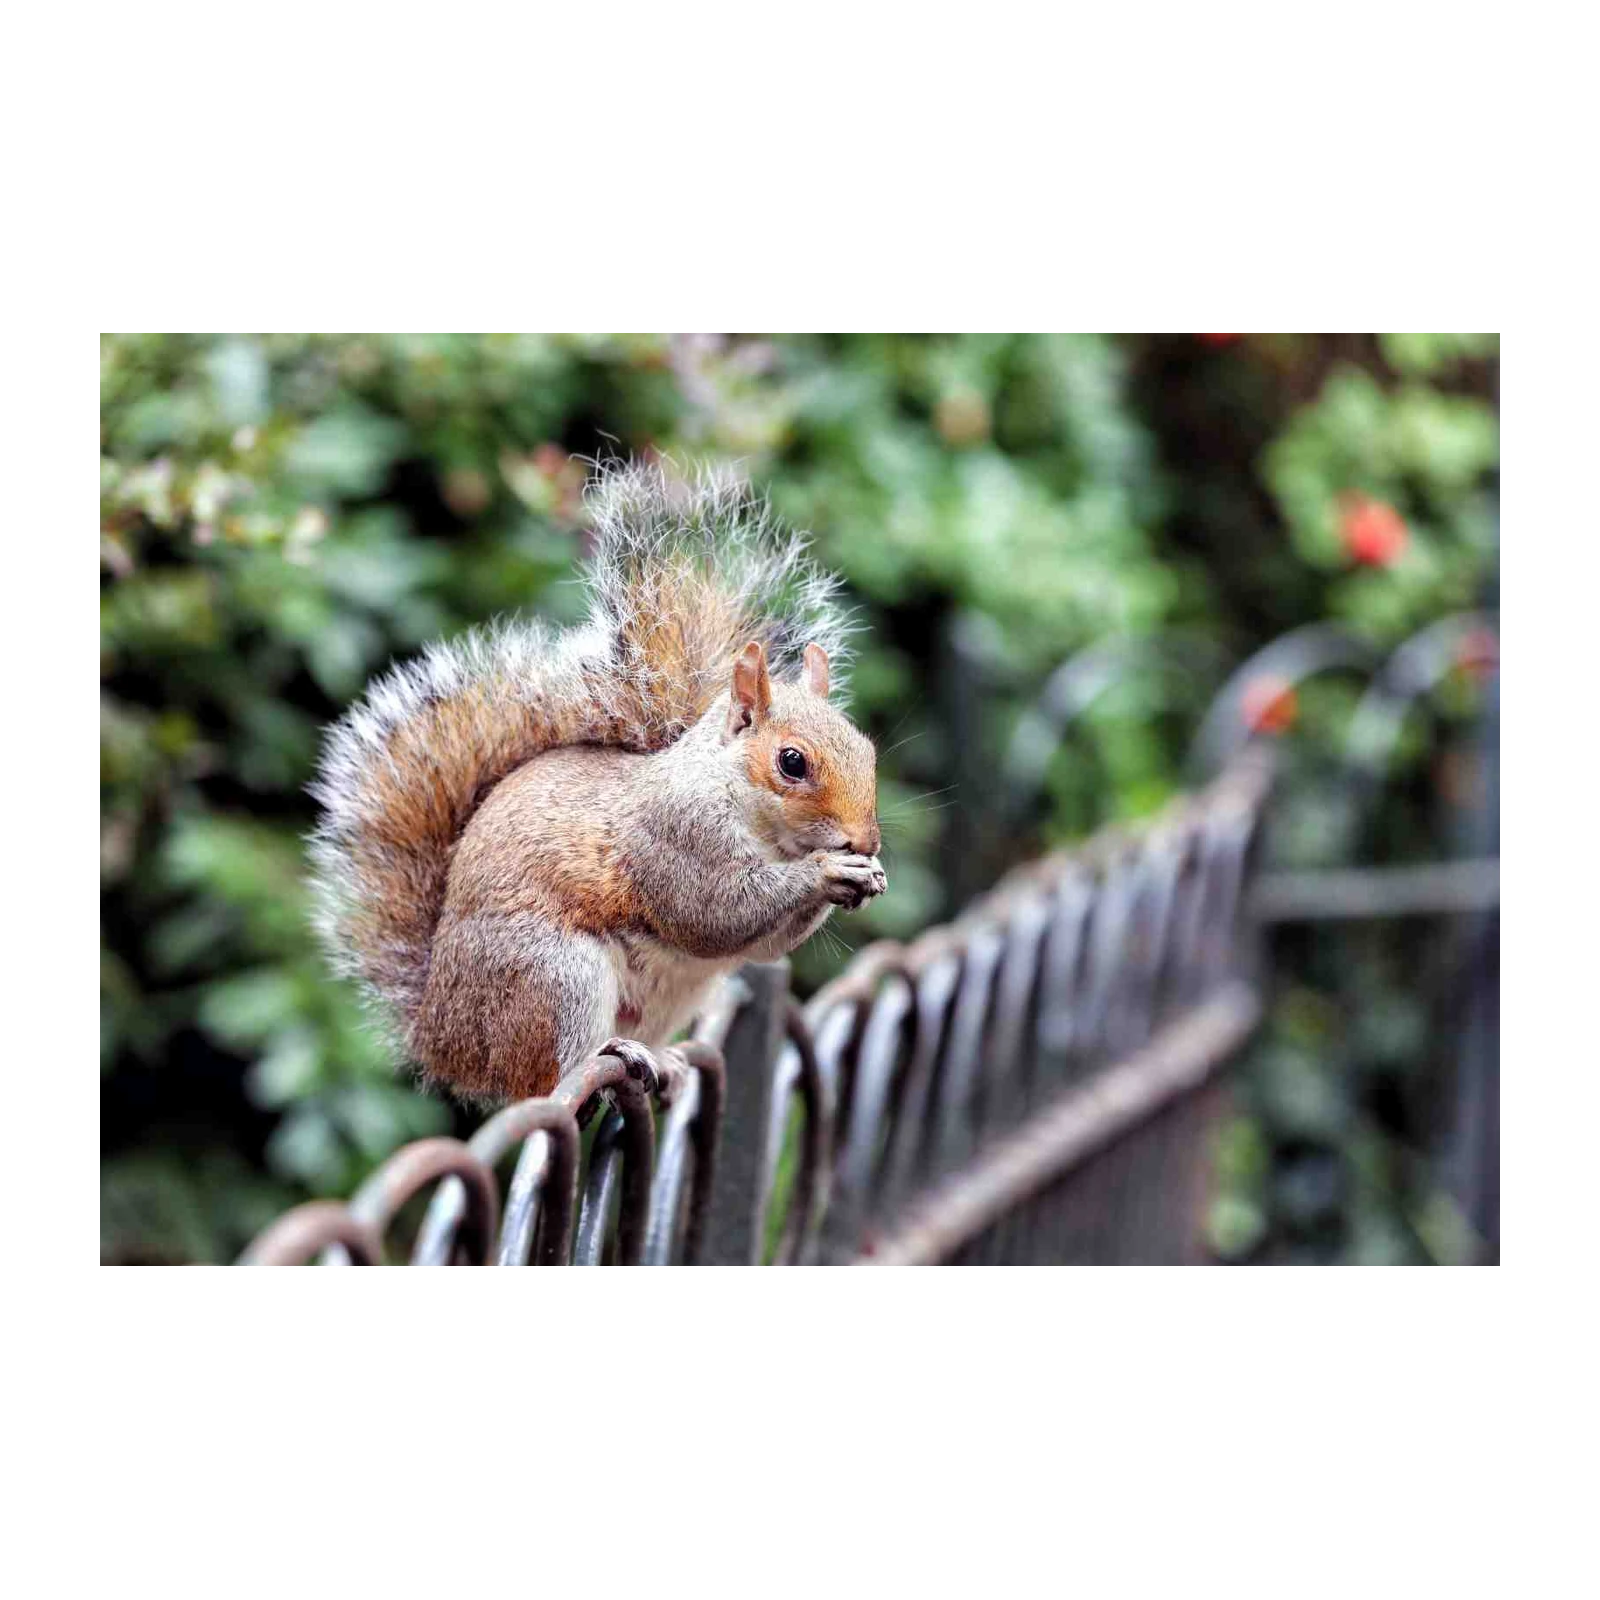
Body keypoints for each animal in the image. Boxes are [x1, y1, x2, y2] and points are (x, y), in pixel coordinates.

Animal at [308, 458, 887, 1105]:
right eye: (791, 762)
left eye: (867, 749)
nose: (865, 841)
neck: (751, 814)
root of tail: (442, 1038)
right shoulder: (673, 836)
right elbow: (713, 911)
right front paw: (829, 871)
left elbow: (762, 945)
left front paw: (864, 875)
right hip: (555, 976)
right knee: (550, 1078)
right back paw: (611, 1055)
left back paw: (669, 1062)